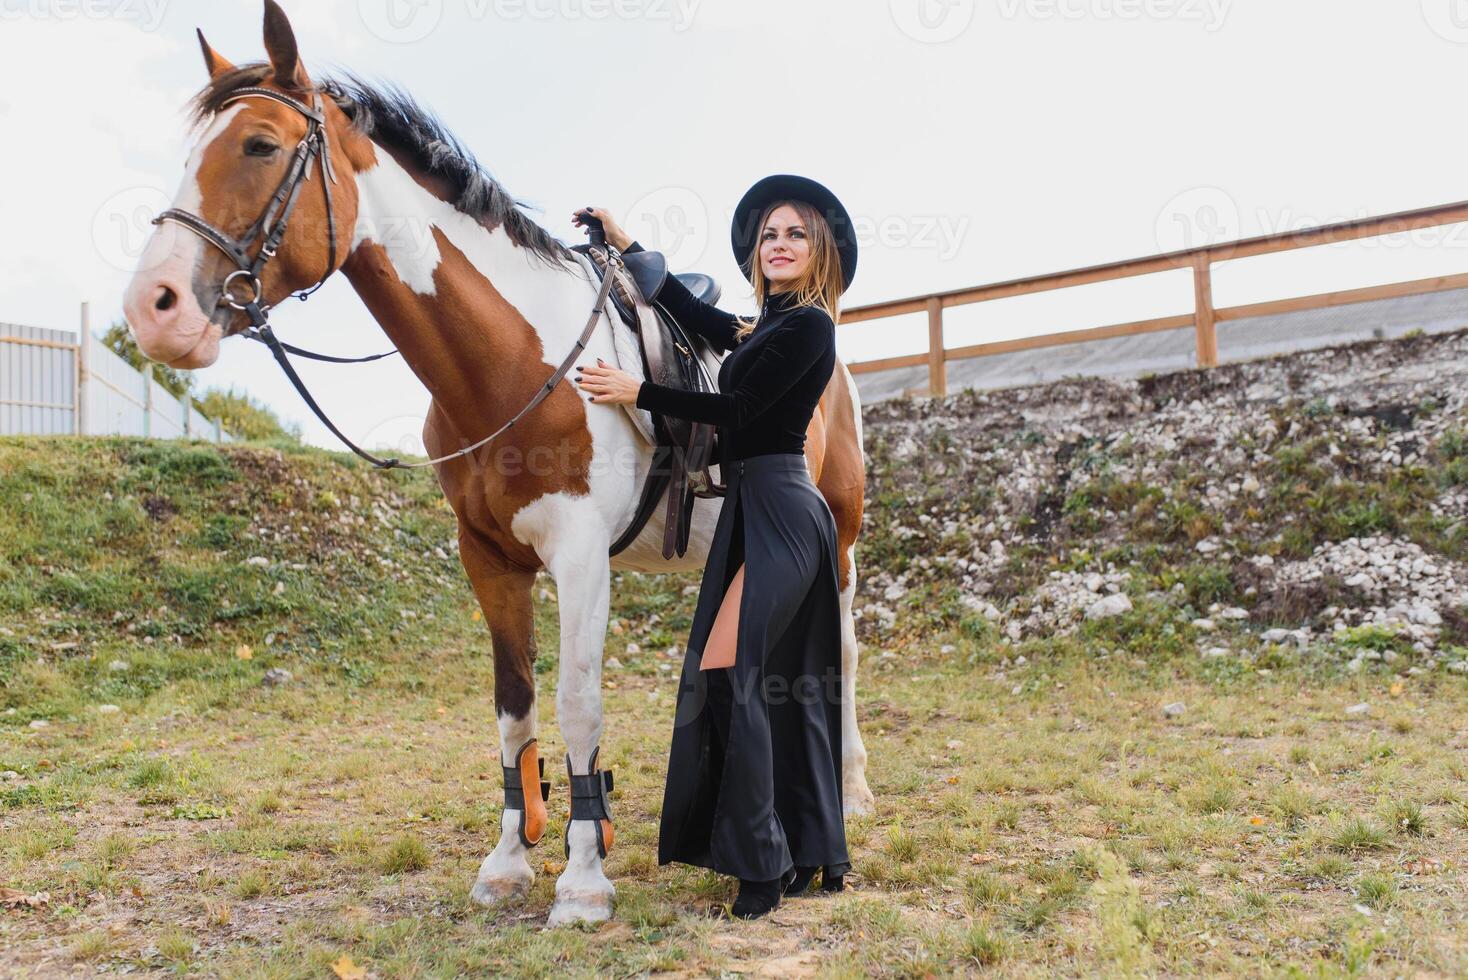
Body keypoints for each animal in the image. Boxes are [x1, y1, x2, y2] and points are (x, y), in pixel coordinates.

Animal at [123, 0, 869, 927]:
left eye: (259, 145)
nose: (153, 309)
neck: (515, 360)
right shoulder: (488, 559)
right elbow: (514, 710)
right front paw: (512, 860)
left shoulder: (580, 557)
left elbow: (577, 703)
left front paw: (583, 880)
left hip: (841, 546)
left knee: (841, 657)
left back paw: (848, 801)